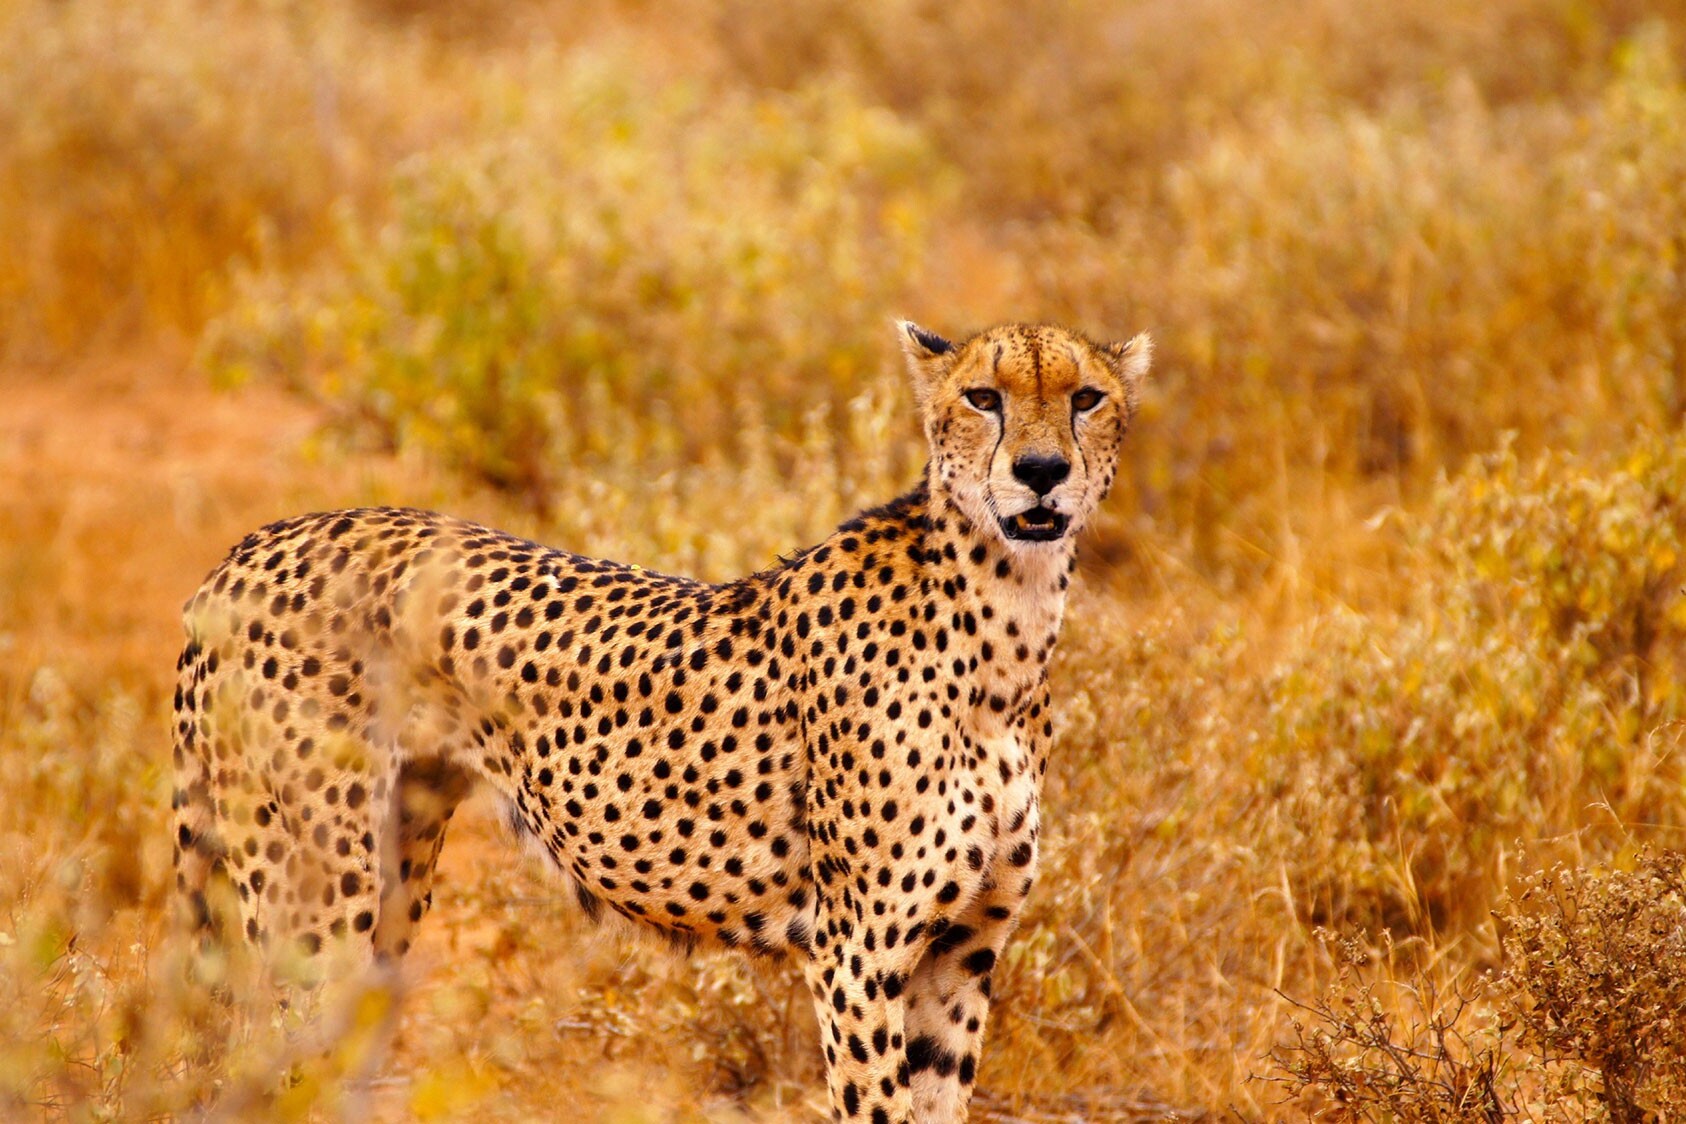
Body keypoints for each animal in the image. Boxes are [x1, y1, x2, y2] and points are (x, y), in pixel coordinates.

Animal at [171, 320, 1151, 1123]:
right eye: (983, 398)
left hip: (392, 882)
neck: (1007, 625)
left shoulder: (964, 950)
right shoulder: (856, 956)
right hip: (313, 893)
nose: (1039, 473)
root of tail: (250, 546)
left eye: (1085, 399)